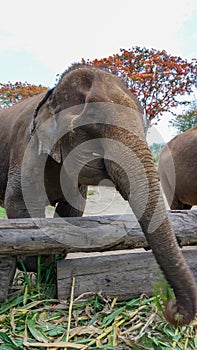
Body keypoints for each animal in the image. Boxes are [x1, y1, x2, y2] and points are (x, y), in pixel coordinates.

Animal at [0, 63, 196, 326]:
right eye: (94, 123)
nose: (172, 308)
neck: (52, 96)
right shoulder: (27, 150)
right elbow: (19, 203)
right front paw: (34, 263)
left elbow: (72, 209)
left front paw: (51, 266)